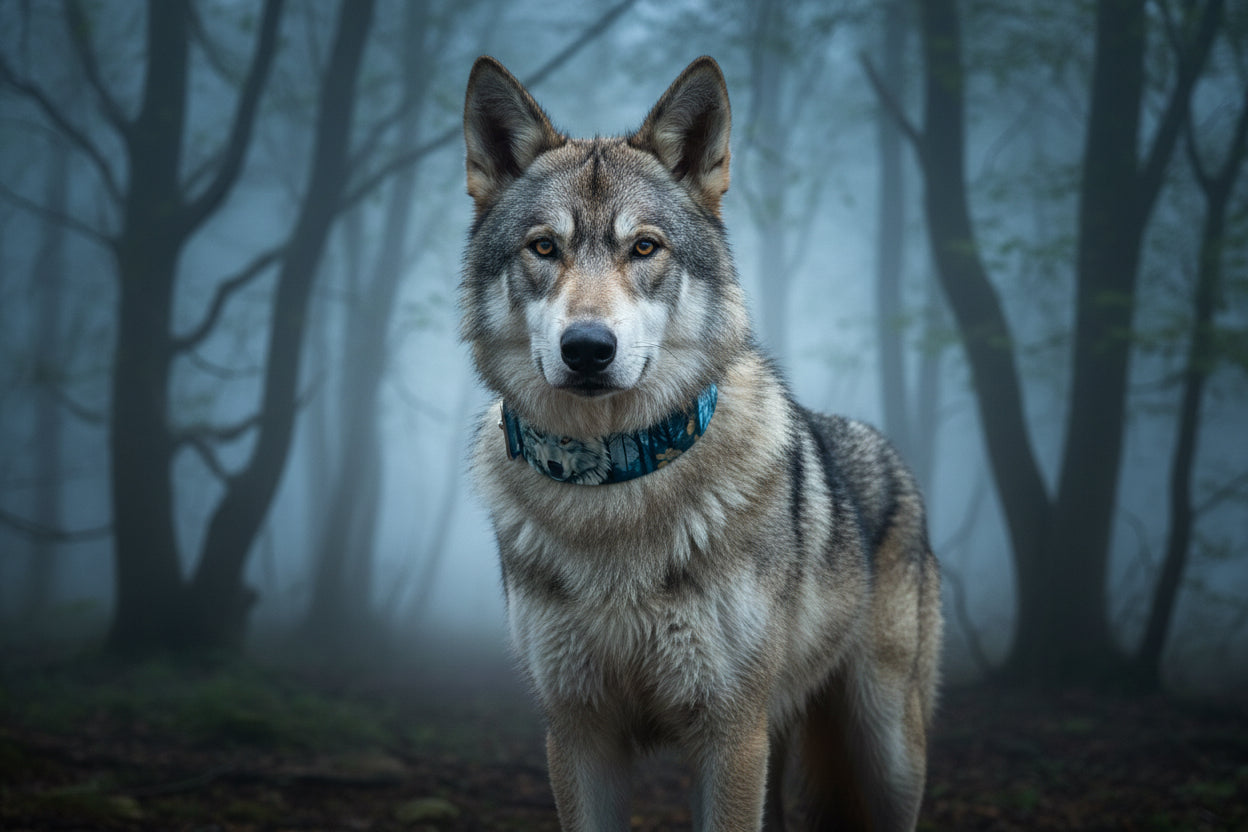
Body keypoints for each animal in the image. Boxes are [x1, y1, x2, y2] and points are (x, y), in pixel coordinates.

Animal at [460, 55, 942, 831]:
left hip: (886, 754)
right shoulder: (578, 733)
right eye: (544, 247)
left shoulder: (731, 734)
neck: (614, 477)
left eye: (644, 247)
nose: (587, 348)